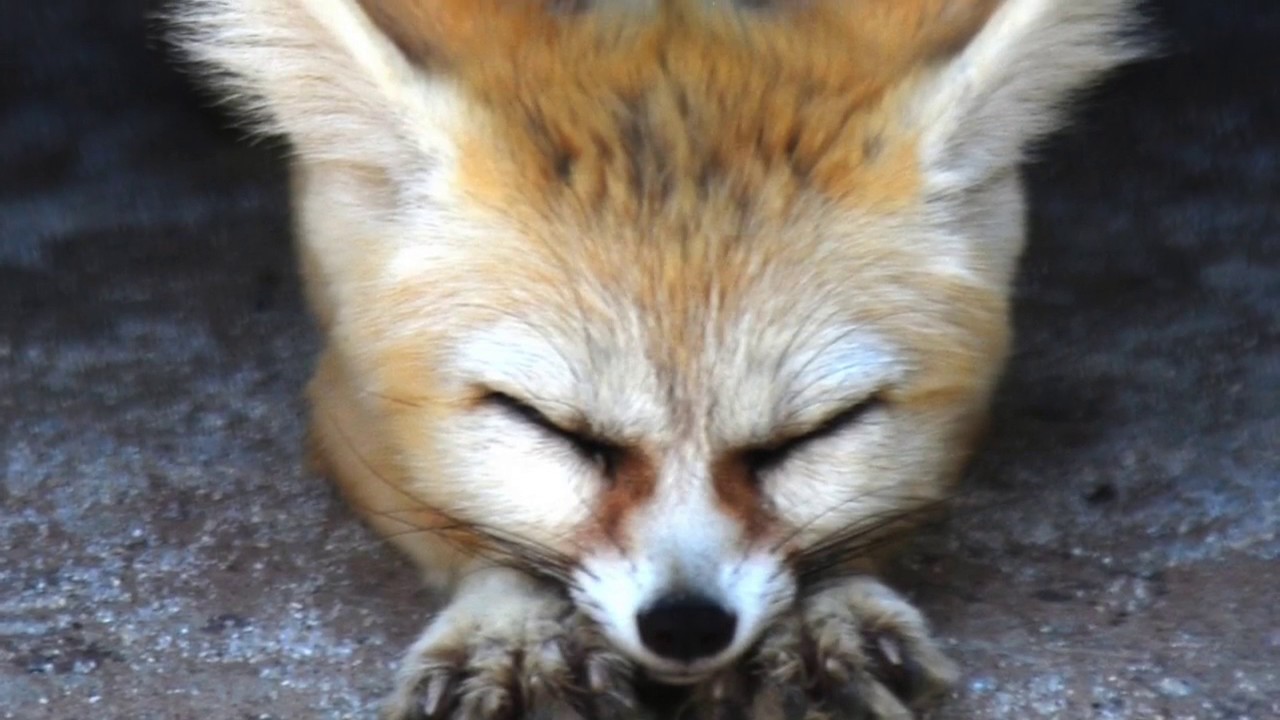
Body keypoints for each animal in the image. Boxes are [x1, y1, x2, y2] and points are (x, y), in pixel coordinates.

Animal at [171, 1, 1139, 718]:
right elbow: (461, 526)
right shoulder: (346, 408)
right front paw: (515, 628)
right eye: (550, 429)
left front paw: (815, 619)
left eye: (816, 436)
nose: (685, 626)